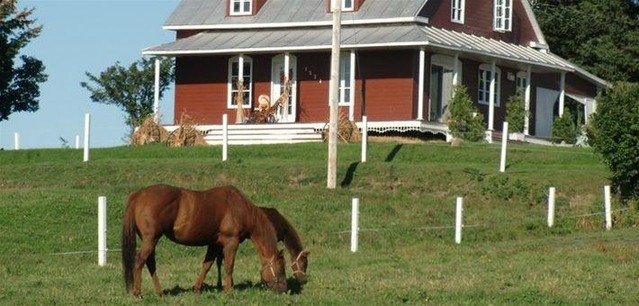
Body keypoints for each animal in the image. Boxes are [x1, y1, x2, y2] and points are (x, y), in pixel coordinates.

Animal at [121, 184, 286, 296]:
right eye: (280, 269)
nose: (284, 290)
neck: (240, 208)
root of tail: (139, 195)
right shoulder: (231, 242)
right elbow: (229, 266)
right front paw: (229, 290)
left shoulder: (214, 244)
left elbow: (207, 265)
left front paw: (198, 288)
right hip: (151, 239)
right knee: (140, 261)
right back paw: (137, 293)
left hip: (151, 240)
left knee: (150, 263)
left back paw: (160, 293)